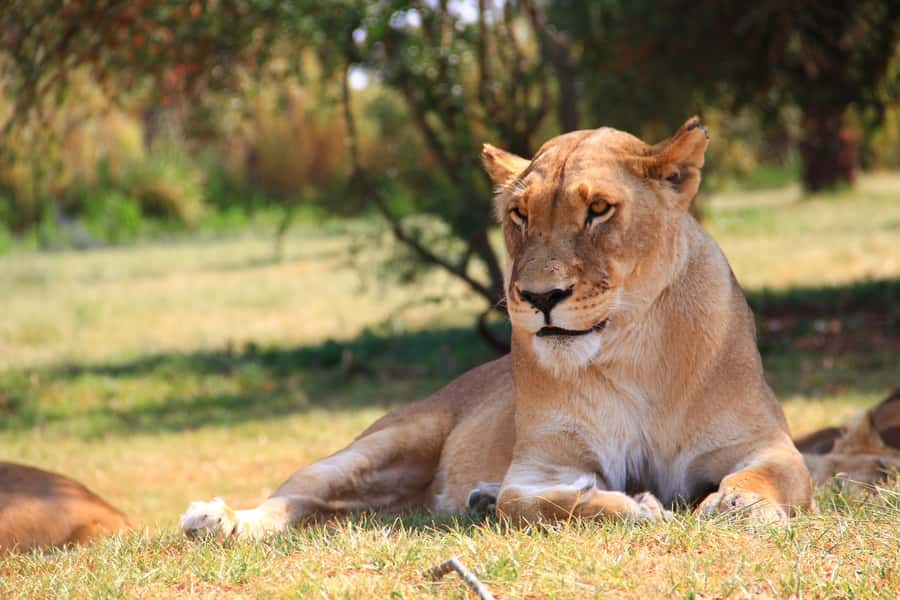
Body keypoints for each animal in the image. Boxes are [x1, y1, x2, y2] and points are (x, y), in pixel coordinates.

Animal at [181, 117, 814, 539]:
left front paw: (738, 506)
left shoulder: (763, 443)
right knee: (296, 496)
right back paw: (216, 519)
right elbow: (542, 504)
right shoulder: (541, 469)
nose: (539, 297)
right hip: (384, 443)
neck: (631, 347)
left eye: (599, 210)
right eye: (520, 214)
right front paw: (635, 506)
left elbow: (768, 477)